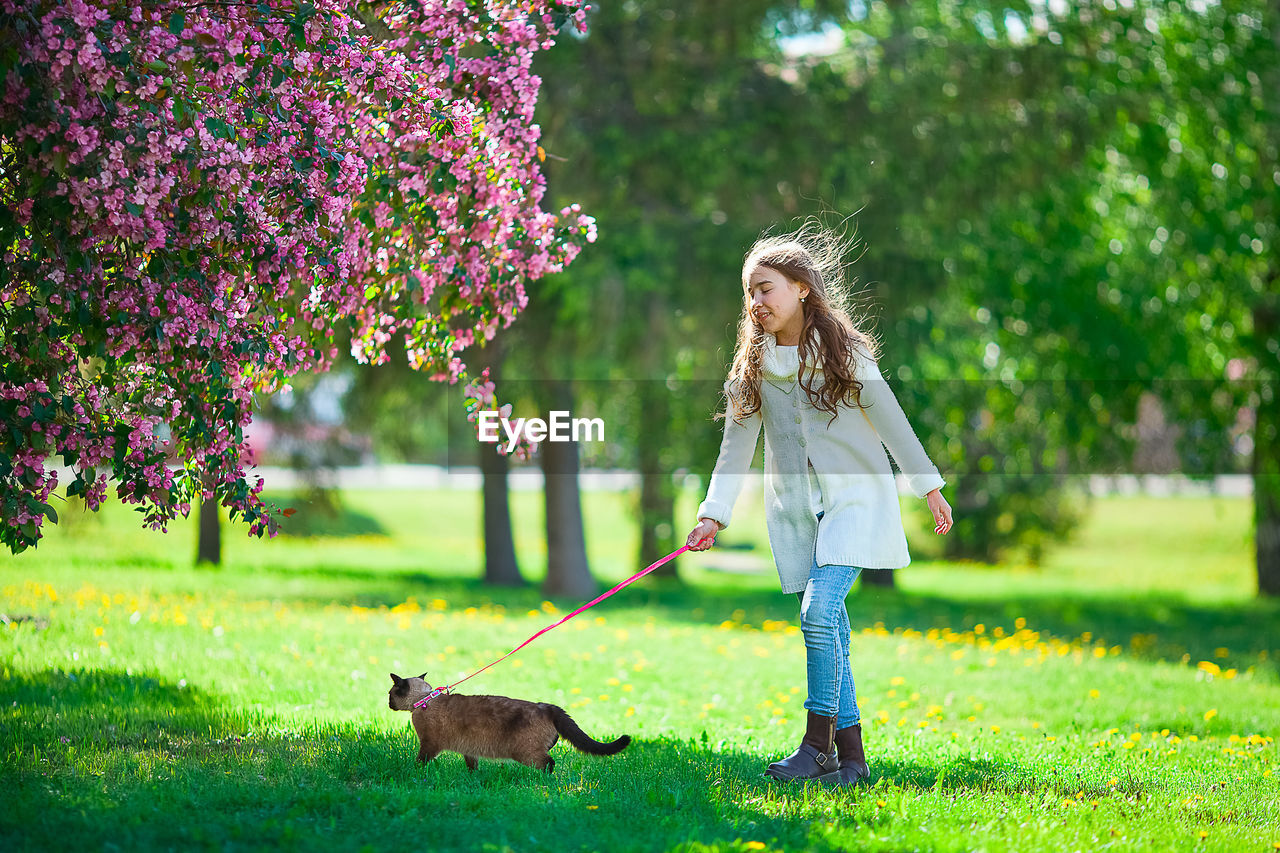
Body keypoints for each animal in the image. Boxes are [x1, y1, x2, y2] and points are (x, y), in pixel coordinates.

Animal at [386, 671, 632, 768]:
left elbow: (420, 762)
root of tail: (546, 706)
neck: (424, 699)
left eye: (389, 695)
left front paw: (414, 772)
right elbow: (472, 767)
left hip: (525, 753)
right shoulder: (469, 750)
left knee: (549, 764)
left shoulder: (429, 745)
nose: (388, 704)